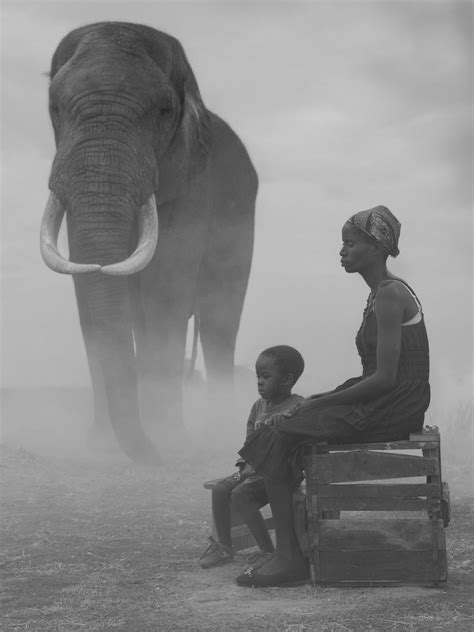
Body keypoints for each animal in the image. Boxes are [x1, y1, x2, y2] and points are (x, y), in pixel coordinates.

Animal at [40, 22, 260, 464]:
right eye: (55, 107)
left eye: (162, 112)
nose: (152, 456)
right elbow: (87, 295)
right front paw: (101, 448)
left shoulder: (194, 184)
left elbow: (166, 292)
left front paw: (172, 443)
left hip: (241, 215)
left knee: (219, 321)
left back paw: (216, 435)